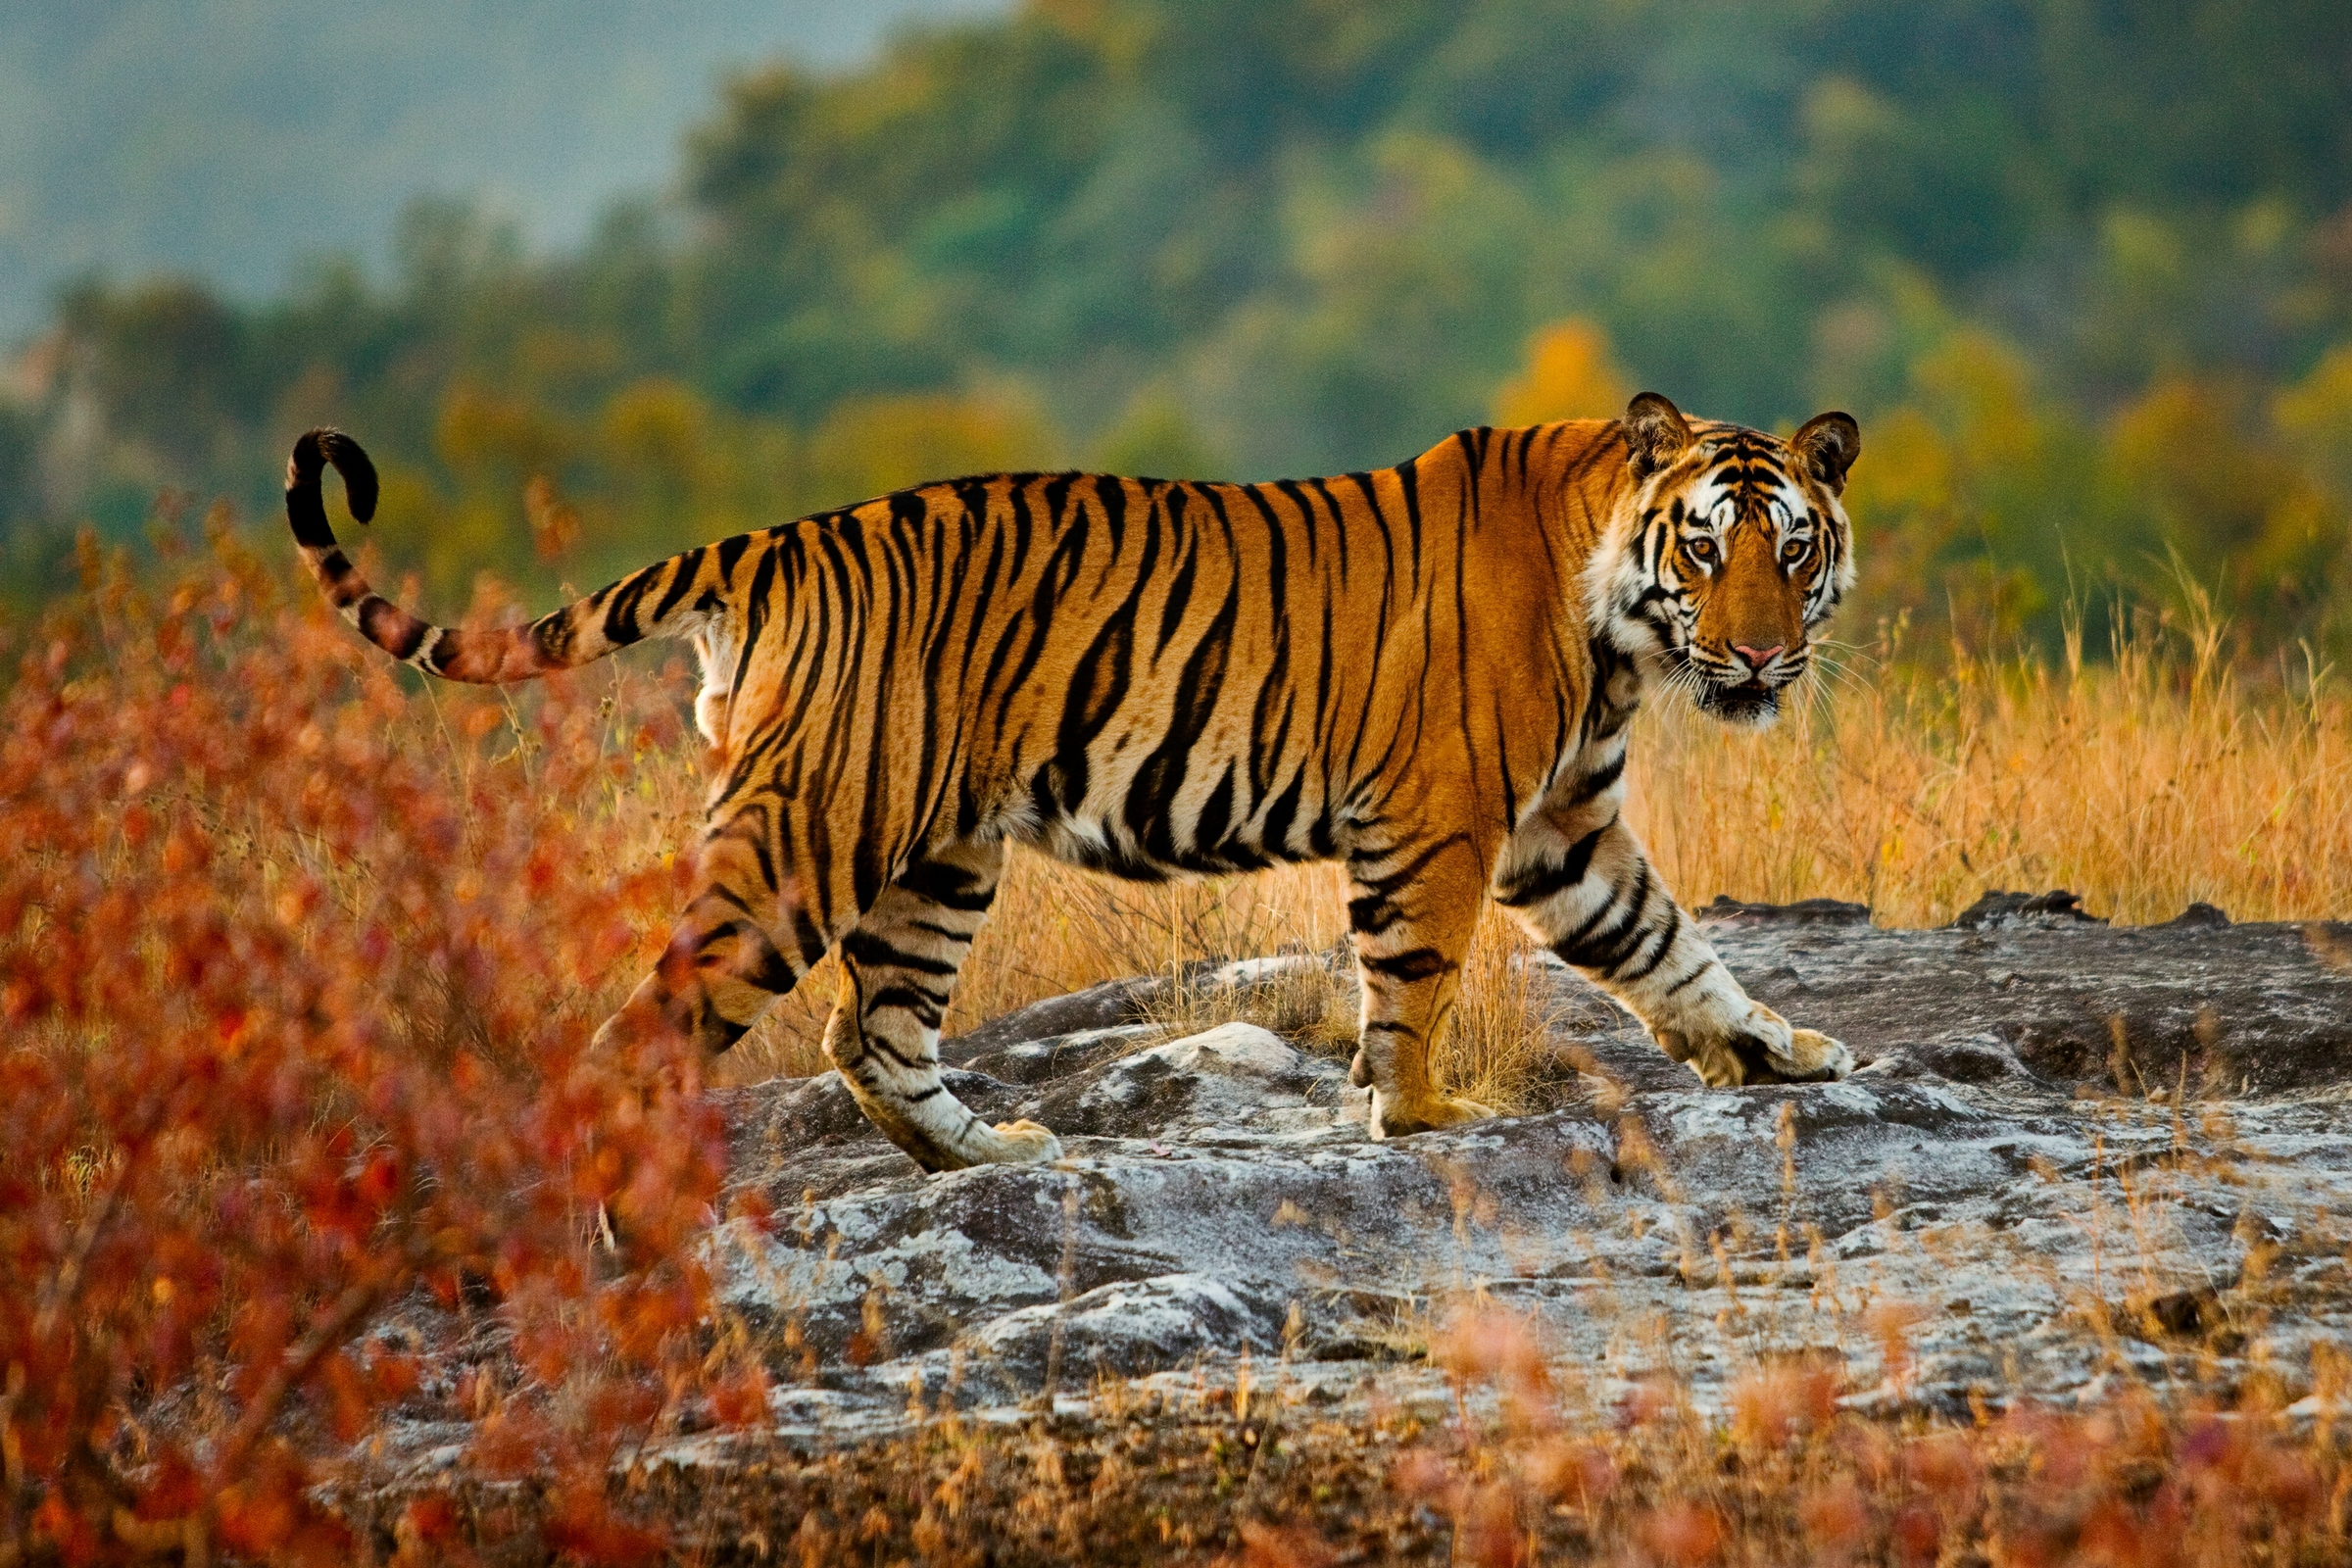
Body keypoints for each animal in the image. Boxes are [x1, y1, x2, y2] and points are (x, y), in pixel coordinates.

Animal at [289, 392, 1853, 1170]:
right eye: (1708, 547)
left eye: (1794, 548)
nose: (1761, 658)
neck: (1621, 629)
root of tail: (774, 541)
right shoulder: (1442, 821)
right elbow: (1413, 984)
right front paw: (1418, 1120)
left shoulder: (1563, 827)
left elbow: (1670, 947)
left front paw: (1778, 1053)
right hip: (809, 839)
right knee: (650, 1034)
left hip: (935, 857)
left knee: (873, 1032)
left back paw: (990, 1156)